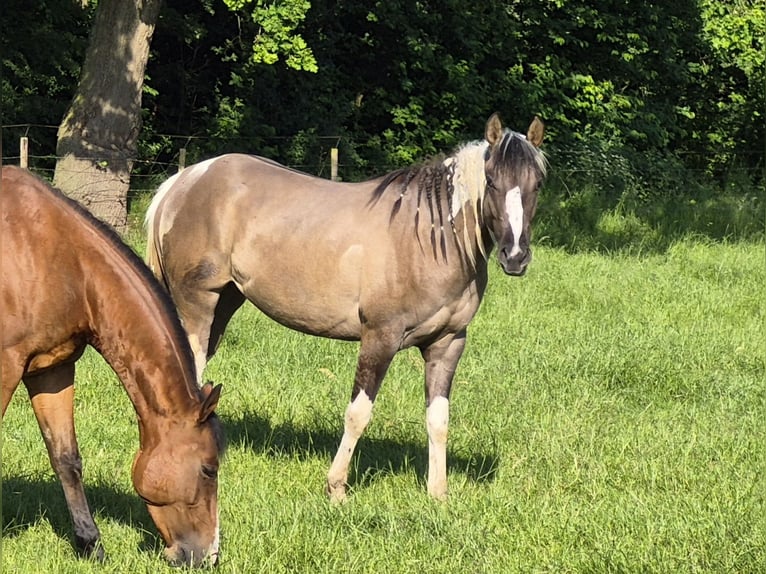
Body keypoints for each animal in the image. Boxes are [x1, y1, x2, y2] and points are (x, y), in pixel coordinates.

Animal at [1, 166, 224, 566]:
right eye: (208, 469)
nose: (208, 556)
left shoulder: (51, 369)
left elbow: (66, 459)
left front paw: (91, 544)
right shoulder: (6, 365)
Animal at [145, 113, 546, 502]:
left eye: (538, 183)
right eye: (491, 181)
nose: (515, 257)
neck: (428, 240)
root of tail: (183, 181)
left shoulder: (447, 343)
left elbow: (438, 420)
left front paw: (438, 494)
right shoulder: (380, 337)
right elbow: (358, 413)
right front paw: (336, 488)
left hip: (226, 302)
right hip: (198, 304)